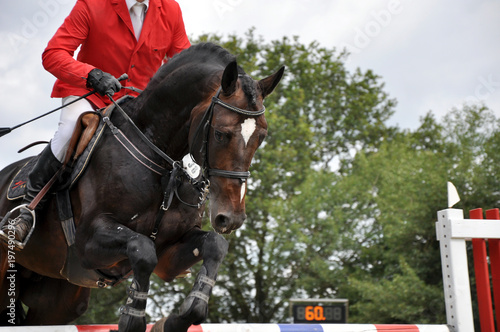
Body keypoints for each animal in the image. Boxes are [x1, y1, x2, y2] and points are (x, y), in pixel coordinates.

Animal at [0, 42, 286, 330]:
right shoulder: (88, 240)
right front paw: (133, 318)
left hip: (58, 299)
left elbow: (216, 244)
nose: (231, 218)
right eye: (220, 133)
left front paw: (181, 317)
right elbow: (142, 249)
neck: (161, 161)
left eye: (262, 136)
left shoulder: (169, 256)